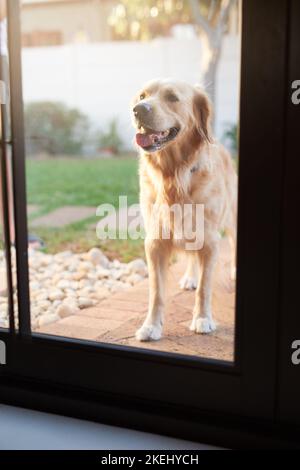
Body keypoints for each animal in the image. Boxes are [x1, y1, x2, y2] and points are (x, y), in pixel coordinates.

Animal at [131, 78, 237, 342]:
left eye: (172, 97)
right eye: (142, 96)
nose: (138, 110)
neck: (174, 175)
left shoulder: (210, 241)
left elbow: (205, 288)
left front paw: (202, 319)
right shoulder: (155, 243)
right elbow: (156, 292)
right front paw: (151, 326)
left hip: (231, 218)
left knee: (233, 242)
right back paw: (190, 277)